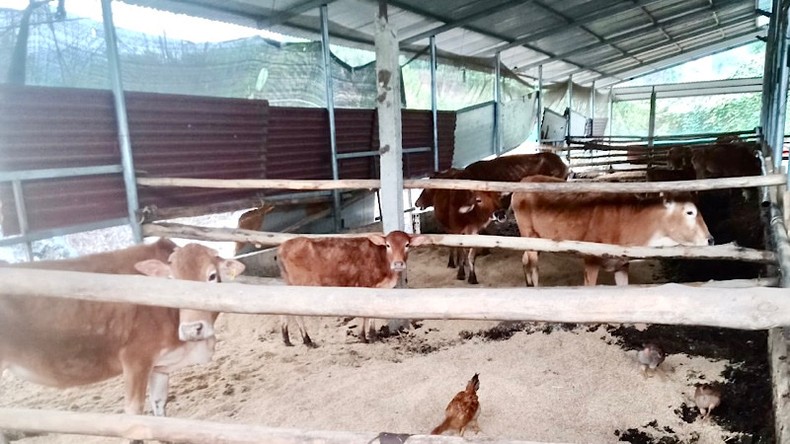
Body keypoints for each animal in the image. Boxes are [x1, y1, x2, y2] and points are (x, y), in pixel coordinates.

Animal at [0, 239, 245, 444]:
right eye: (172, 280)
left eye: (212, 276)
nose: (191, 329)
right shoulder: (136, 359)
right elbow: (135, 415)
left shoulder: (160, 366)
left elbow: (160, 412)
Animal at [276, 231, 429, 346]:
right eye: (388, 245)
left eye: (407, 245)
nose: (398, 263)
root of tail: (283, 246)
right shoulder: (366, 286)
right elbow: (366, 313)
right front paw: (366, 336)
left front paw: (369, 335)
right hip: (300, 285)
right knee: (296, 312)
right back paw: (307, 340)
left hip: (289, 283)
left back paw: (286, 338)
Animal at [511, 175, 714, 286]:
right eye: (689, 212)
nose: (711, 239)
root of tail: (526, 180)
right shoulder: (591, 259)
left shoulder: (622, 263)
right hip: (528, 233)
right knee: (533, 263)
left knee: (524, 258)